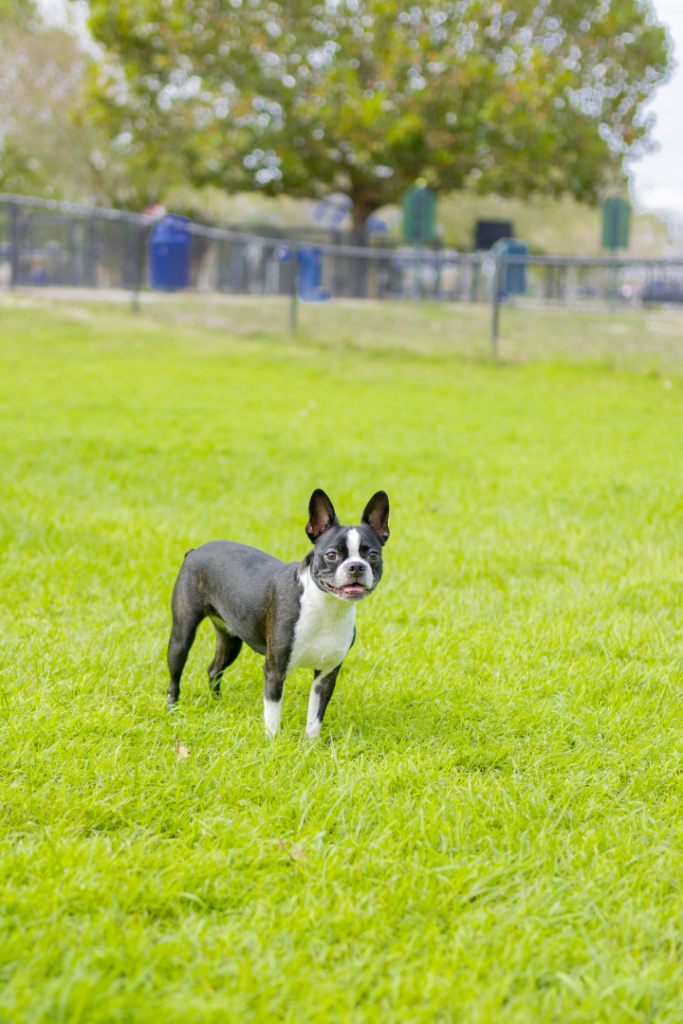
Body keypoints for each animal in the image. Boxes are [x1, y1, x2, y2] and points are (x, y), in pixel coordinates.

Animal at [165, 487, 389, 737]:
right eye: (331, 555)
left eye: (373, 556)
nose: (357, 566)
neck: (326, 607)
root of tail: (195, 550)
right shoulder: (275, 670)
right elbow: (272, 716)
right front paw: (272, 742)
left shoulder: (326, 675)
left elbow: (314, 719)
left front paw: (311, 744)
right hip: (182, 635)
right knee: (174, 679)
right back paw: (172, 713)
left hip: (231, 639)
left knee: (214, 669)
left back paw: (217, 704)